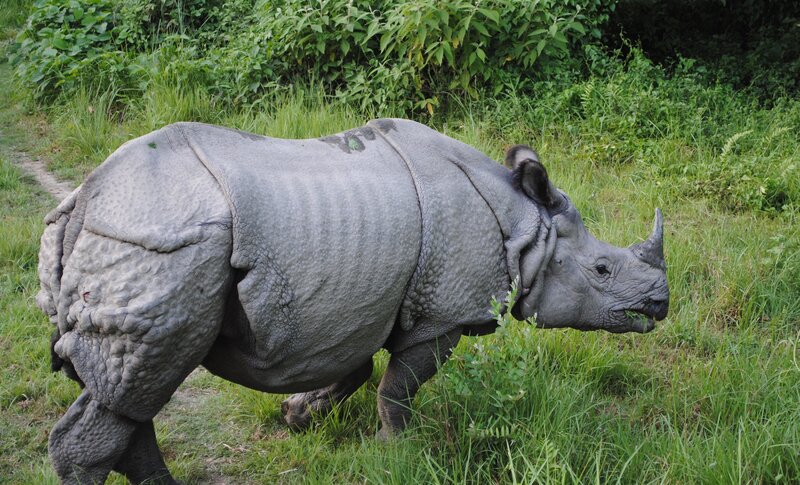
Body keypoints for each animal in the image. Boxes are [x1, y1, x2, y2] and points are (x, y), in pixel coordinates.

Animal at [36, 118, 668, 484]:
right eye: (603, 269)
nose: (660, 303)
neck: (526, 227)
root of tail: (85, 200)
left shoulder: (363, 303)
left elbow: (357, 369)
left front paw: (299, 415)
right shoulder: (443, 314)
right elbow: (398, 389)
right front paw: (394, 454)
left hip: (142, 242)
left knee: (130, 392)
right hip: (161, 244)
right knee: (140, 384)